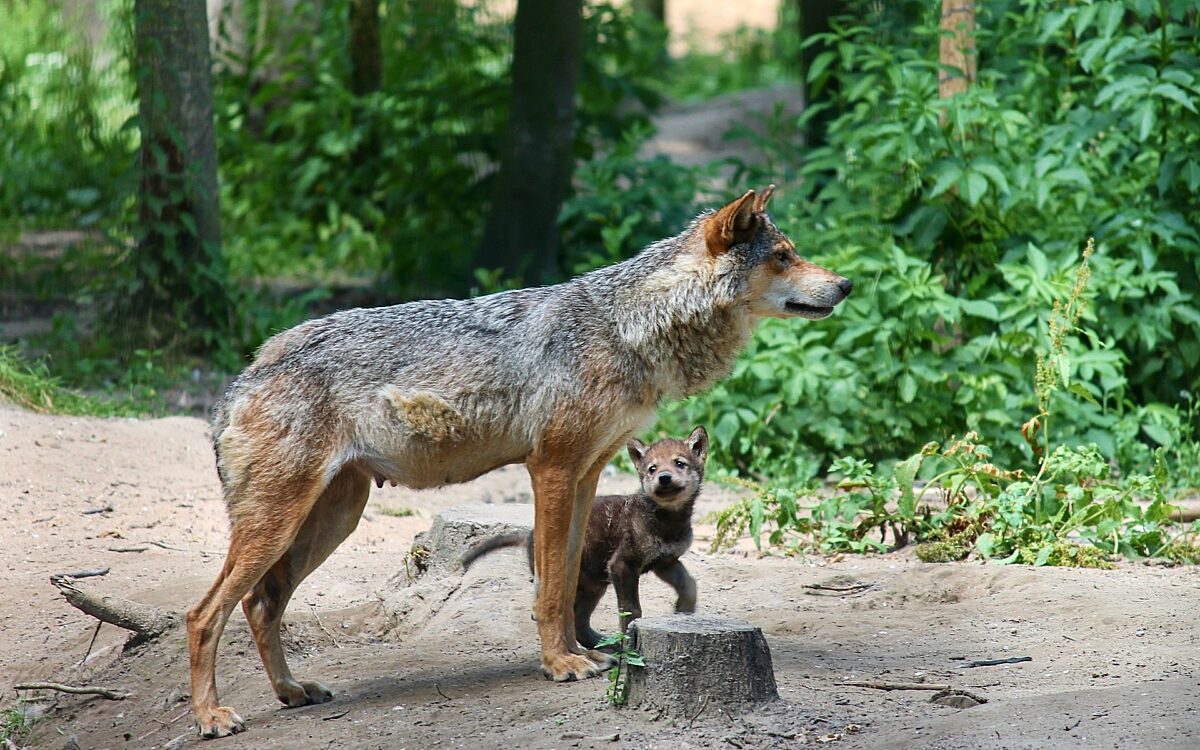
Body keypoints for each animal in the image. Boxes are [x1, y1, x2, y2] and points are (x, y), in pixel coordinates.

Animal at [462, 427, 709, 648]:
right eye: (652, 468)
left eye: (679, 463)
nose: (664, 478)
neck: (668, 521)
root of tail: (529, 534)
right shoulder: (623, 564)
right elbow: (631, 609)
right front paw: (630, 642)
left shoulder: (665, 561)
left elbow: (689, 583)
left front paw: (683, 611)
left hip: (594, 585)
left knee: (579, 622)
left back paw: (606, 646)